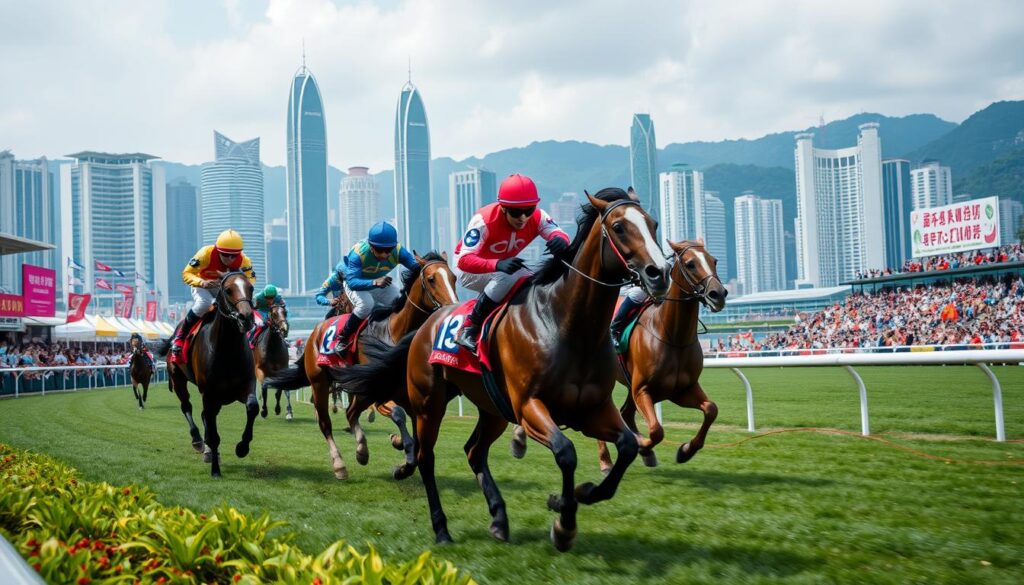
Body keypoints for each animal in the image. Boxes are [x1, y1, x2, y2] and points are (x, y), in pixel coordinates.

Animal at [158, 272, 260, 477]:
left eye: (251, 287)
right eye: (228, 290)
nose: (246, 318)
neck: (227, 350)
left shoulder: (246, 384)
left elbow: (253, 407)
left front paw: (242, 447)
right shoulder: (209, 392)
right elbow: (213, 435)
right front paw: (215, 470)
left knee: (205, 414)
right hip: (178, 379)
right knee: (187, 407)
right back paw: (198, 441)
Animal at [266, 252, 458, 481]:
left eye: (454, 277)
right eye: (431, 279)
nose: (452, 307)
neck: (393, 332)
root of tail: (315, 331)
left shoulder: (408, 396)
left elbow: (414, 430)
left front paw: (401, 454)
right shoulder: (377, 390)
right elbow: (398, 414)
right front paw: (401, 445)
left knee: (351, 412)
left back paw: (362, 450)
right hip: (320, 381)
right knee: (326, 422)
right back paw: (340, 464)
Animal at [337, 189, 671, 553]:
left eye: (653, 224)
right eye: (619, 227)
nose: (660, 273)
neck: (566, 325)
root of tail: (426, 325)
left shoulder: (593, 409)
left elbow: (627, 447)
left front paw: (581, 494)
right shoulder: (528, 406)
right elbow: (566, 452)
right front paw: (564, 524)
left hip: (491, 408)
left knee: (474, 451)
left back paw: (498, 518)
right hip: (429, 404)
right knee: (427, 457)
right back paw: (441, 527)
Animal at [593, 238, 729, 471]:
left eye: (714, 260)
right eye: (690, 264)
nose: (718, 294)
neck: (673, 337)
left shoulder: (682, 390)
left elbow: (711, 409)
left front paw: (685, 450)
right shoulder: (642, 389)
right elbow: (656, 430)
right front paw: (642, 446)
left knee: (625, 412)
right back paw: (605, 461)